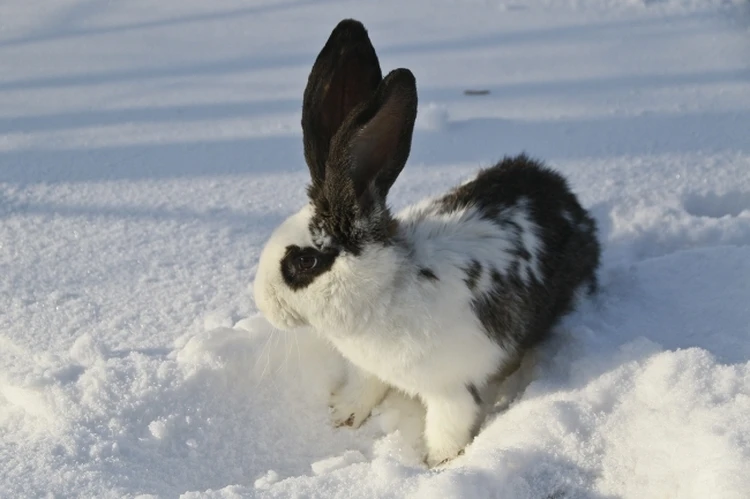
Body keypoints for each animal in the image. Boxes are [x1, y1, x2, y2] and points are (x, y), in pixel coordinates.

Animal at [256, 18, 604, 468]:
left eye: (303, 263)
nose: (262, 305)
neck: (387, 289)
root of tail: (568, 199)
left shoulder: (450, 388)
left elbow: (448, 425)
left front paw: (436, 464)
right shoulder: (370, 369)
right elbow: (365, 386)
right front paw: (343, 414)